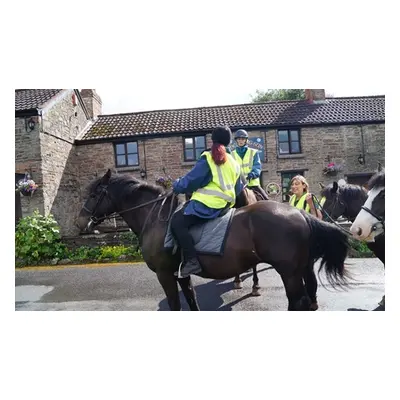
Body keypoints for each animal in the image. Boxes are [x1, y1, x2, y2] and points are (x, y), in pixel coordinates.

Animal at [76, 170, 350, 310]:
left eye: (94, 194)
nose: (80, 223)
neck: (155, 218)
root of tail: (300, 213)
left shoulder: (165, 275)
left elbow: (176, 306)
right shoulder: (180, 275)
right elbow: (191, 303)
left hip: (289, 272)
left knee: (297, 302)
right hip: (301, 268)